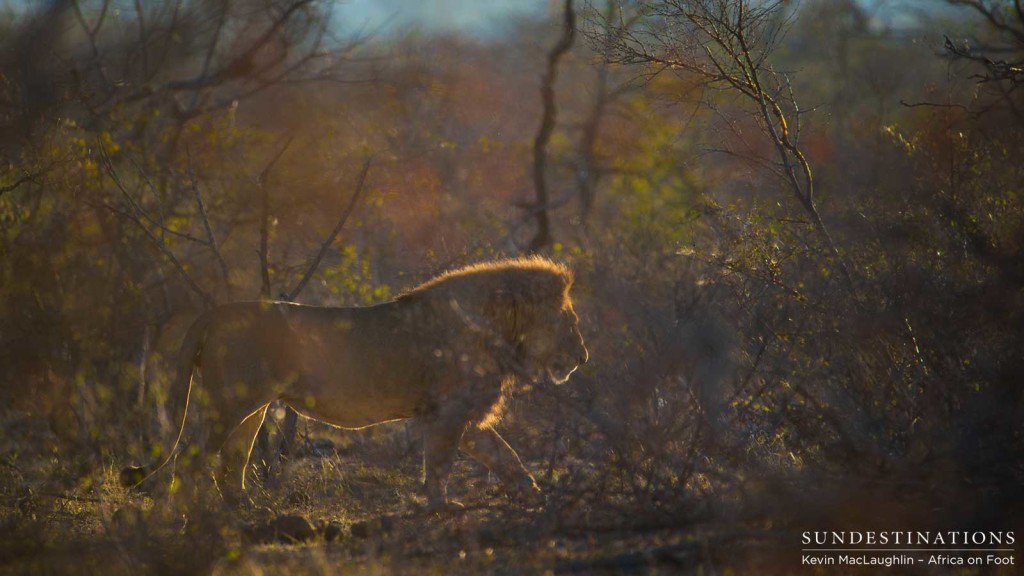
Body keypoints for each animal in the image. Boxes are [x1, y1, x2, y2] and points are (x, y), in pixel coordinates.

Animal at [120, 255, 589, 506]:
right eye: (569, 321)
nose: (582, 357)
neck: (502, 330)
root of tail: (213, 313)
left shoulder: (468, 417)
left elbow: (505, 455)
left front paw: (533, 493)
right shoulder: (449, 412)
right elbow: (440, 462)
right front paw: (442, 504)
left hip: (251, 406)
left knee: (231, 461)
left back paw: (243, 507)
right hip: (227, 403)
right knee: (192, 458)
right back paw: (187, 516)